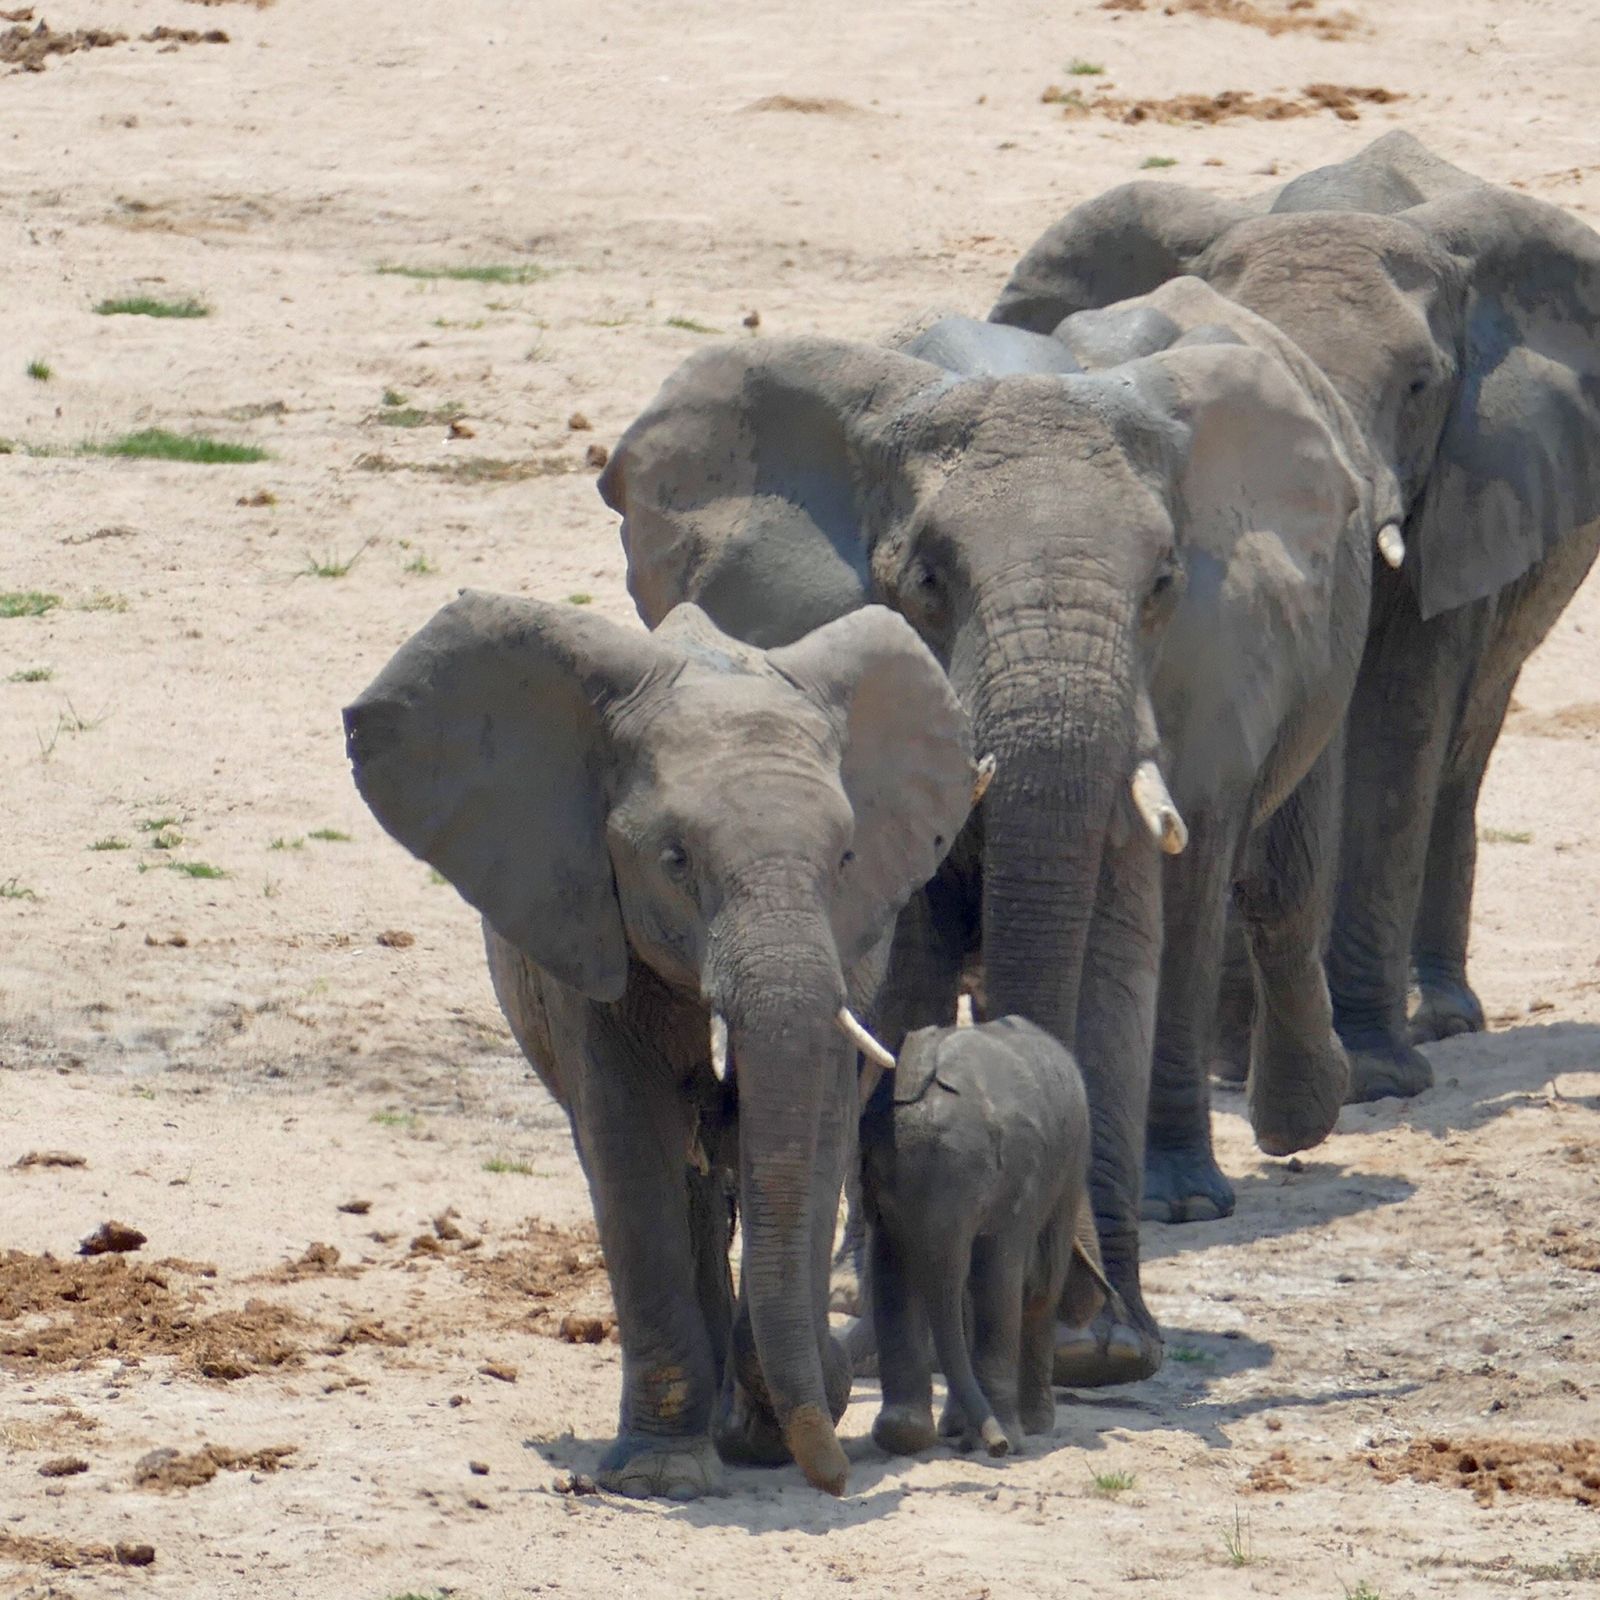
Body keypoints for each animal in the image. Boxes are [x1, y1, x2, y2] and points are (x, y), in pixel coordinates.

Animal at [342, 592, 981, 1499]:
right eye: (674, 860)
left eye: (847, 856)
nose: (836, 1477)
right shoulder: (583, 908)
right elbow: (631, 1133)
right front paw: (665, 1475)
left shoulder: (851, 943)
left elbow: (811, 1124)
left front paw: (768, 1431)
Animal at [598, 272, 1392, 1383]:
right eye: (929, 580)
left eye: (1162, 584)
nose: (1074, 1307)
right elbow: (907, 960)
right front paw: (892, 1320)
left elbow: (1118, 951)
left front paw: (1106, 1348)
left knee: (1258, 882)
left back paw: (1229, 1165)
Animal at [861, 1015, 1106, 1458]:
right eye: (886, 1197)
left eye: (974, 1200)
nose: (999, 1447)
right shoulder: (882, 1205)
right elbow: (891, 1275)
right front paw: (903, 1436)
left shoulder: (1017, 1183)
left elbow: (998, 1277)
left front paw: (1001, 1436)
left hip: (1070, 1163)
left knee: (1039, 1288)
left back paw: (1031, 1425)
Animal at [990, 131, 1600, 1102]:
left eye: (1422, 384)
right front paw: (1235, 1068)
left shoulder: (1462, 482)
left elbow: (1399, 719)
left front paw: (1378, 1077)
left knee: (1464, 744)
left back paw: (1440, 1017)